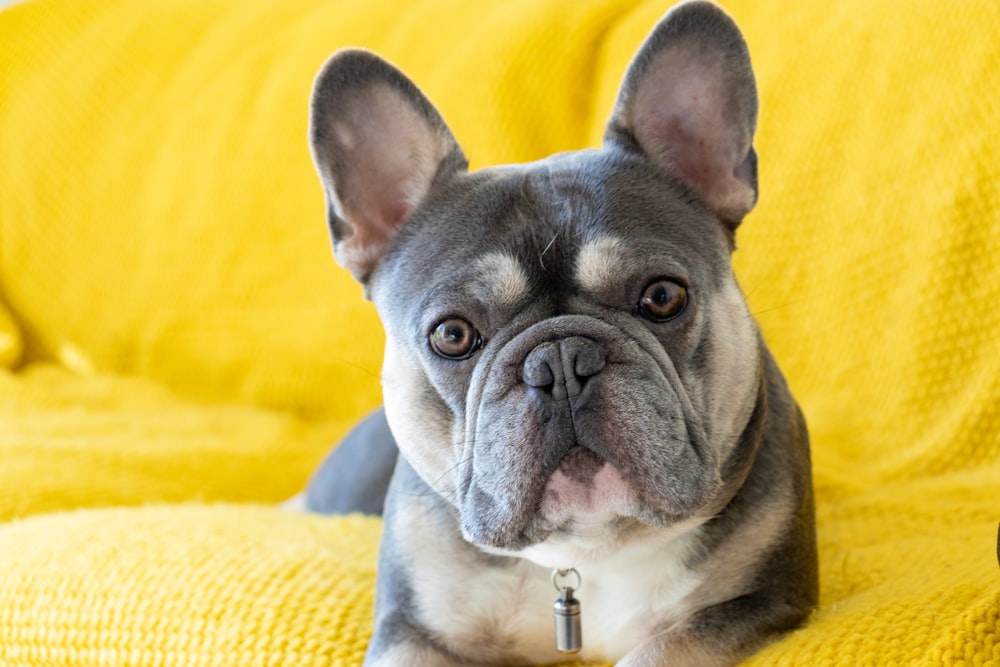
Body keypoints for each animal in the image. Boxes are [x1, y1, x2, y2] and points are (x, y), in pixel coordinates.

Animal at [300, 2, 816, 664]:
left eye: (663, 296)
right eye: (451, 335)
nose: (561, 361)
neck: (583, 554)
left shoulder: (753, 603)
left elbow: (662, 649)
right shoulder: (410, 630)